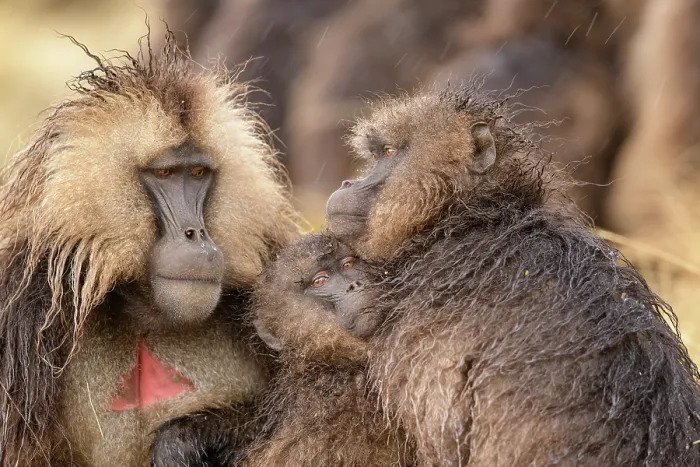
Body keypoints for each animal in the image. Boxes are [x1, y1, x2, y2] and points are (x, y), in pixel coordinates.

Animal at [0, 31, 300, 467]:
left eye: (198, 173)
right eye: (165, 173)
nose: (197, 235)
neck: (145, 307)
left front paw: (188, 437)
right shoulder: (20, 308)